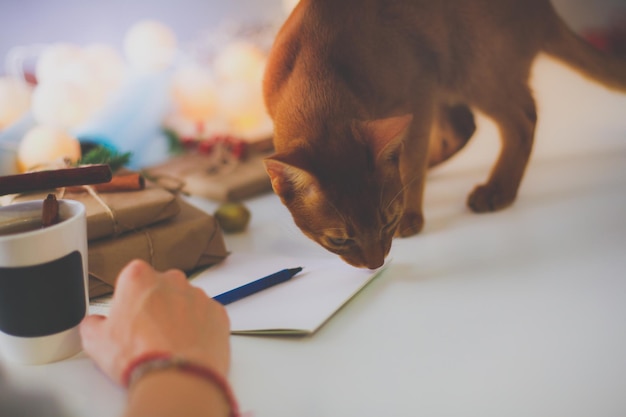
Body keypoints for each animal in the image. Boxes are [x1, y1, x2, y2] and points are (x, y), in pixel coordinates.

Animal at [262, 0, 624, 268]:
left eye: (388, 223)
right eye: (338, 239)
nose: (376, 264)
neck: (317, 69)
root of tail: (547, 12)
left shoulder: (420, 91)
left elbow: (412, 161)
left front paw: (411, 212)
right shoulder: (424, 95)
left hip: (474, 68)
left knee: (522, 119)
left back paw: (497, 190)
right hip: (450, 82)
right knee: (465, 127)